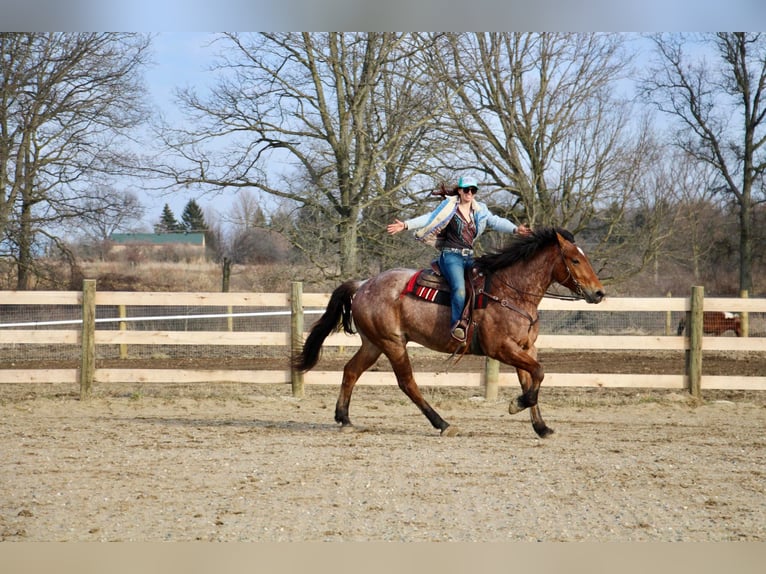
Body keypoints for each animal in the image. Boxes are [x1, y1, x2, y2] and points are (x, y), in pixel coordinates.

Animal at [292, 227, 608, 438]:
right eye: (575, 260)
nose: (599, 293)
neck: (510, 293)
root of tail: (363, 285)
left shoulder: (525, 347)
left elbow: (532, 380)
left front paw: (541, 427)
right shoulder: (501, 348)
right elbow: (538, 375)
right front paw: (516, 405)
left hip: (373, 343)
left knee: (351, 371)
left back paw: (344, 418)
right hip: (392, 344)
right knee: (407, 383)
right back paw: (442, 424)